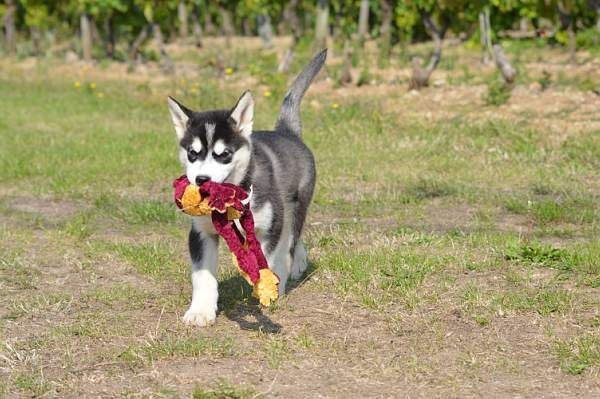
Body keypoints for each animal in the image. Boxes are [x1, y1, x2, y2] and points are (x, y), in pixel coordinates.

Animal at [166, 50, 328, 326]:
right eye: (192, 154)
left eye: (224, 154)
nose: (201, 179)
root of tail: (287, 132)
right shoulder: (200, 233)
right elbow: (202, 276)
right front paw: (201, 311)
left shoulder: (269, 227)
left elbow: (267, 261)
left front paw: (266, 292)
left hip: (295, 208)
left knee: (291, 241)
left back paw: (290, 270)